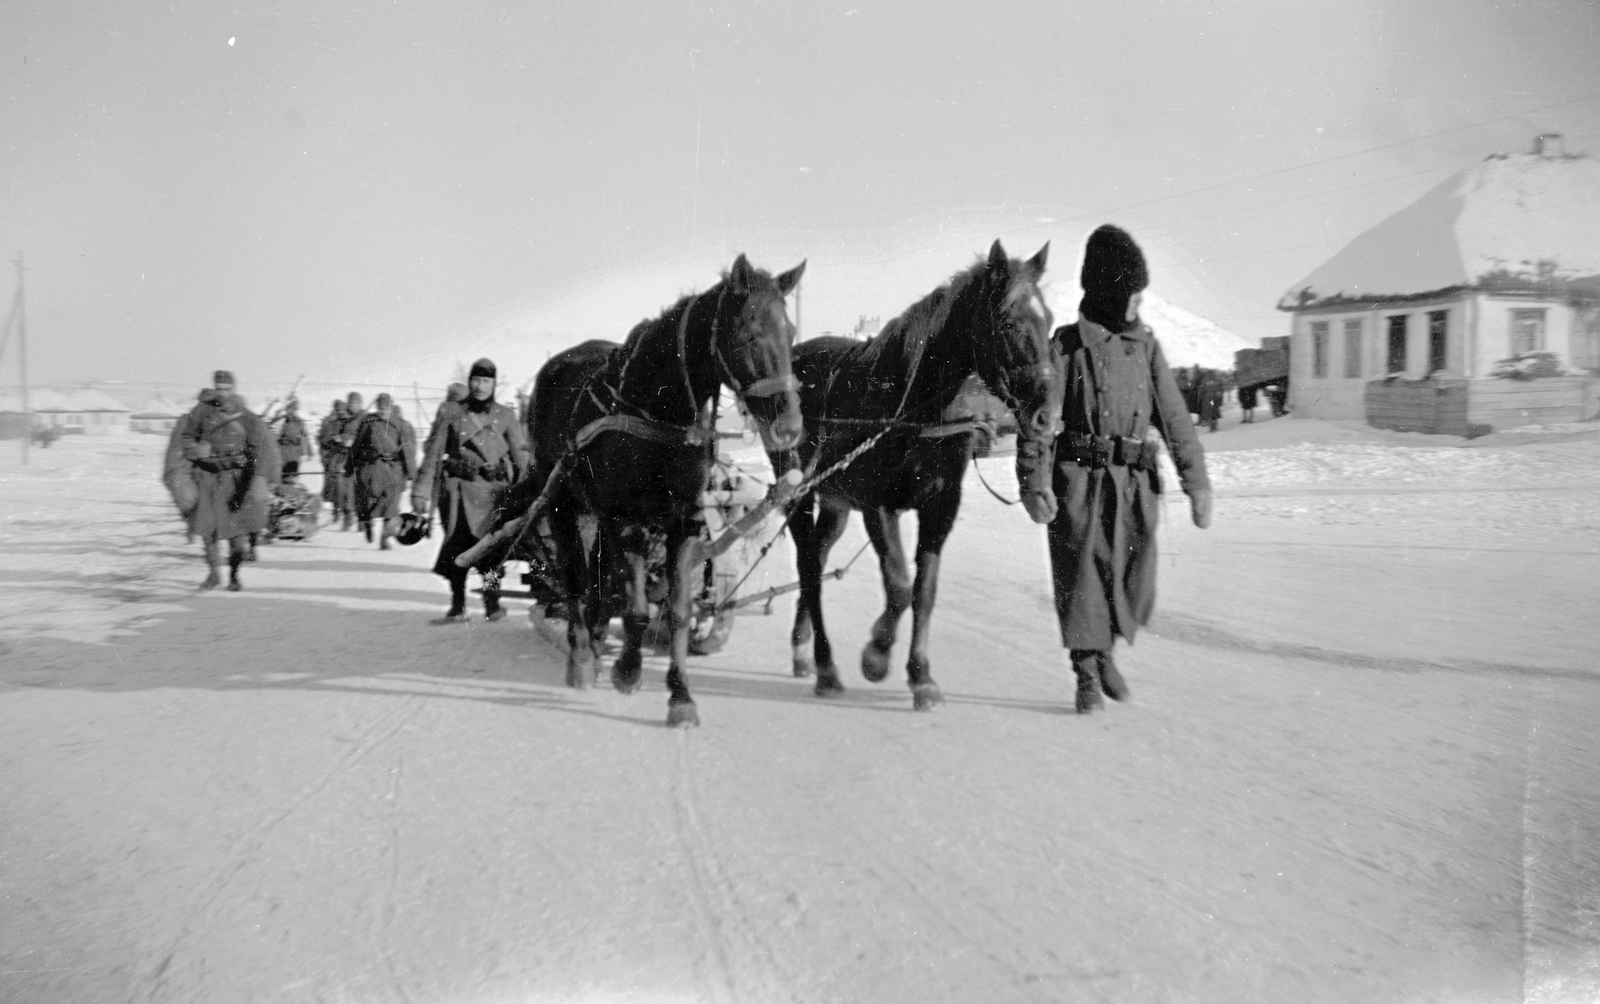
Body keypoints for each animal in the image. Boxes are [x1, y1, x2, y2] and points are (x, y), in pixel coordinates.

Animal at [521, 257, 800, 729]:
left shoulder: (684, 521)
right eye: (748, 333)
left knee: (598, 576)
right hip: (562, 500)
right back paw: (581, 655)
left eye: (792, 332)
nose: (790, 426)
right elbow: (635, 607)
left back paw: (597, 636)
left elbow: (679, 611)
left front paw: (680, 694)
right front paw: (628, 672)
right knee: (576, 576)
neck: (660, 411)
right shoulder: (628, 521)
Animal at [771, 241, 1062, 713]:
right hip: (799, 491)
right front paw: (876, 656)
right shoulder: (878, 507)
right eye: (1006, 322)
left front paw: (921, 675)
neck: (914, 407)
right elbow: (898, 585)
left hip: (835, 503)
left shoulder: (940, 506)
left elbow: (924, 591)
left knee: (817, 557)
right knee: (809, 568)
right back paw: (826, 666)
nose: (1048, 414)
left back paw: (802, 649)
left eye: (1049, 319)